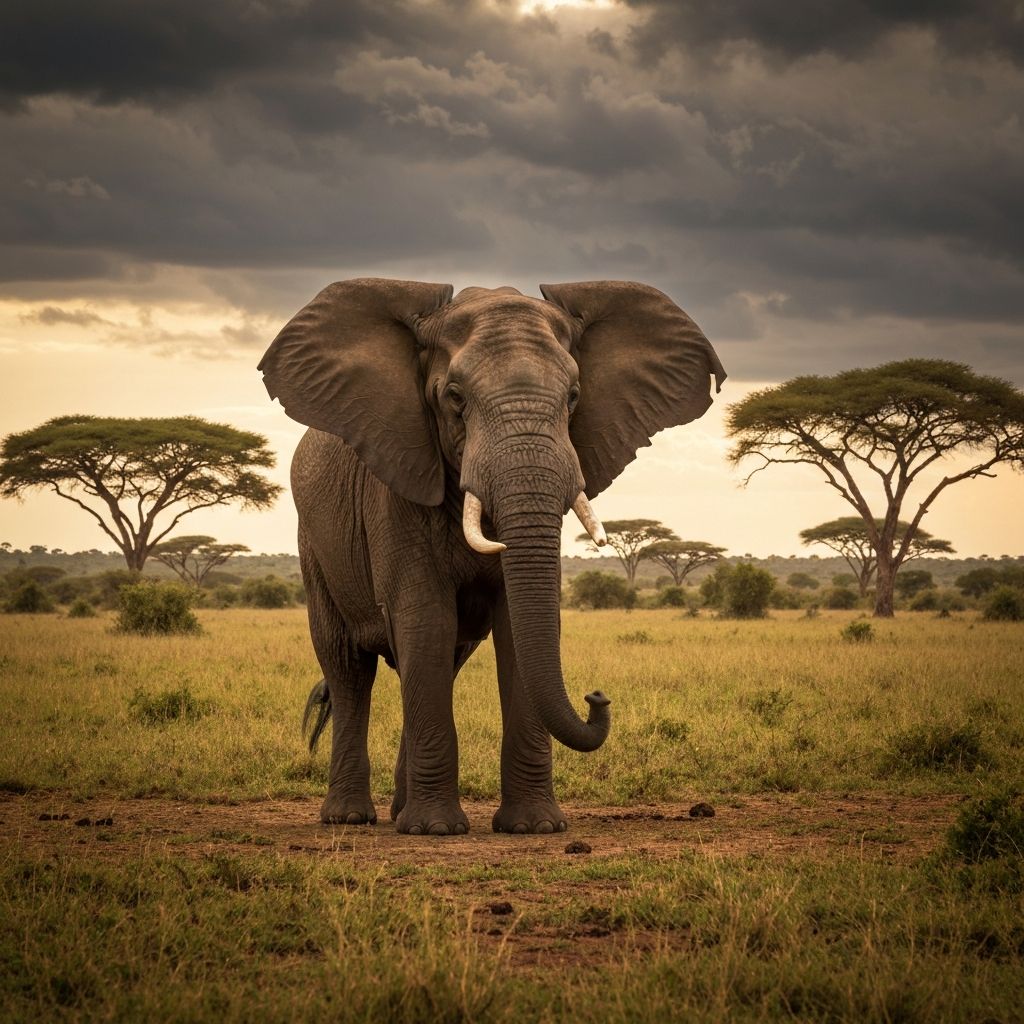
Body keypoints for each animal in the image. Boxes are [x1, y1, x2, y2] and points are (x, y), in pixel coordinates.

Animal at [258, 278, 725, 835]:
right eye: (455, 398)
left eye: (574, 397)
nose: (597, 697)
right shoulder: (395, 483)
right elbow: (425, 619)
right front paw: (436, 830)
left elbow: (511, 630)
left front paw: (534, 827)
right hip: (313, 542)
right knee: (348, 666)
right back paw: (351, 818)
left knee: (439, 663)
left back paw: (398, 814)